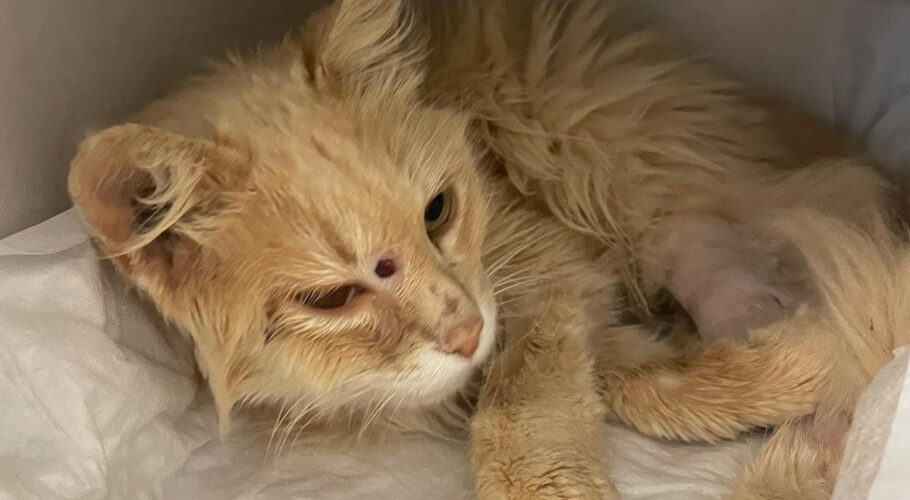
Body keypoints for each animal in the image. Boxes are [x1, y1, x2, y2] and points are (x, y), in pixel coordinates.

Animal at [67, 0, 910, 498]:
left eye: (438, 211)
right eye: (330, 297)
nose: (468, 330)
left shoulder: (547, 272)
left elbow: (532, 402)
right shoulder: (572, 308)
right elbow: (637, 380)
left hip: (628, 171)